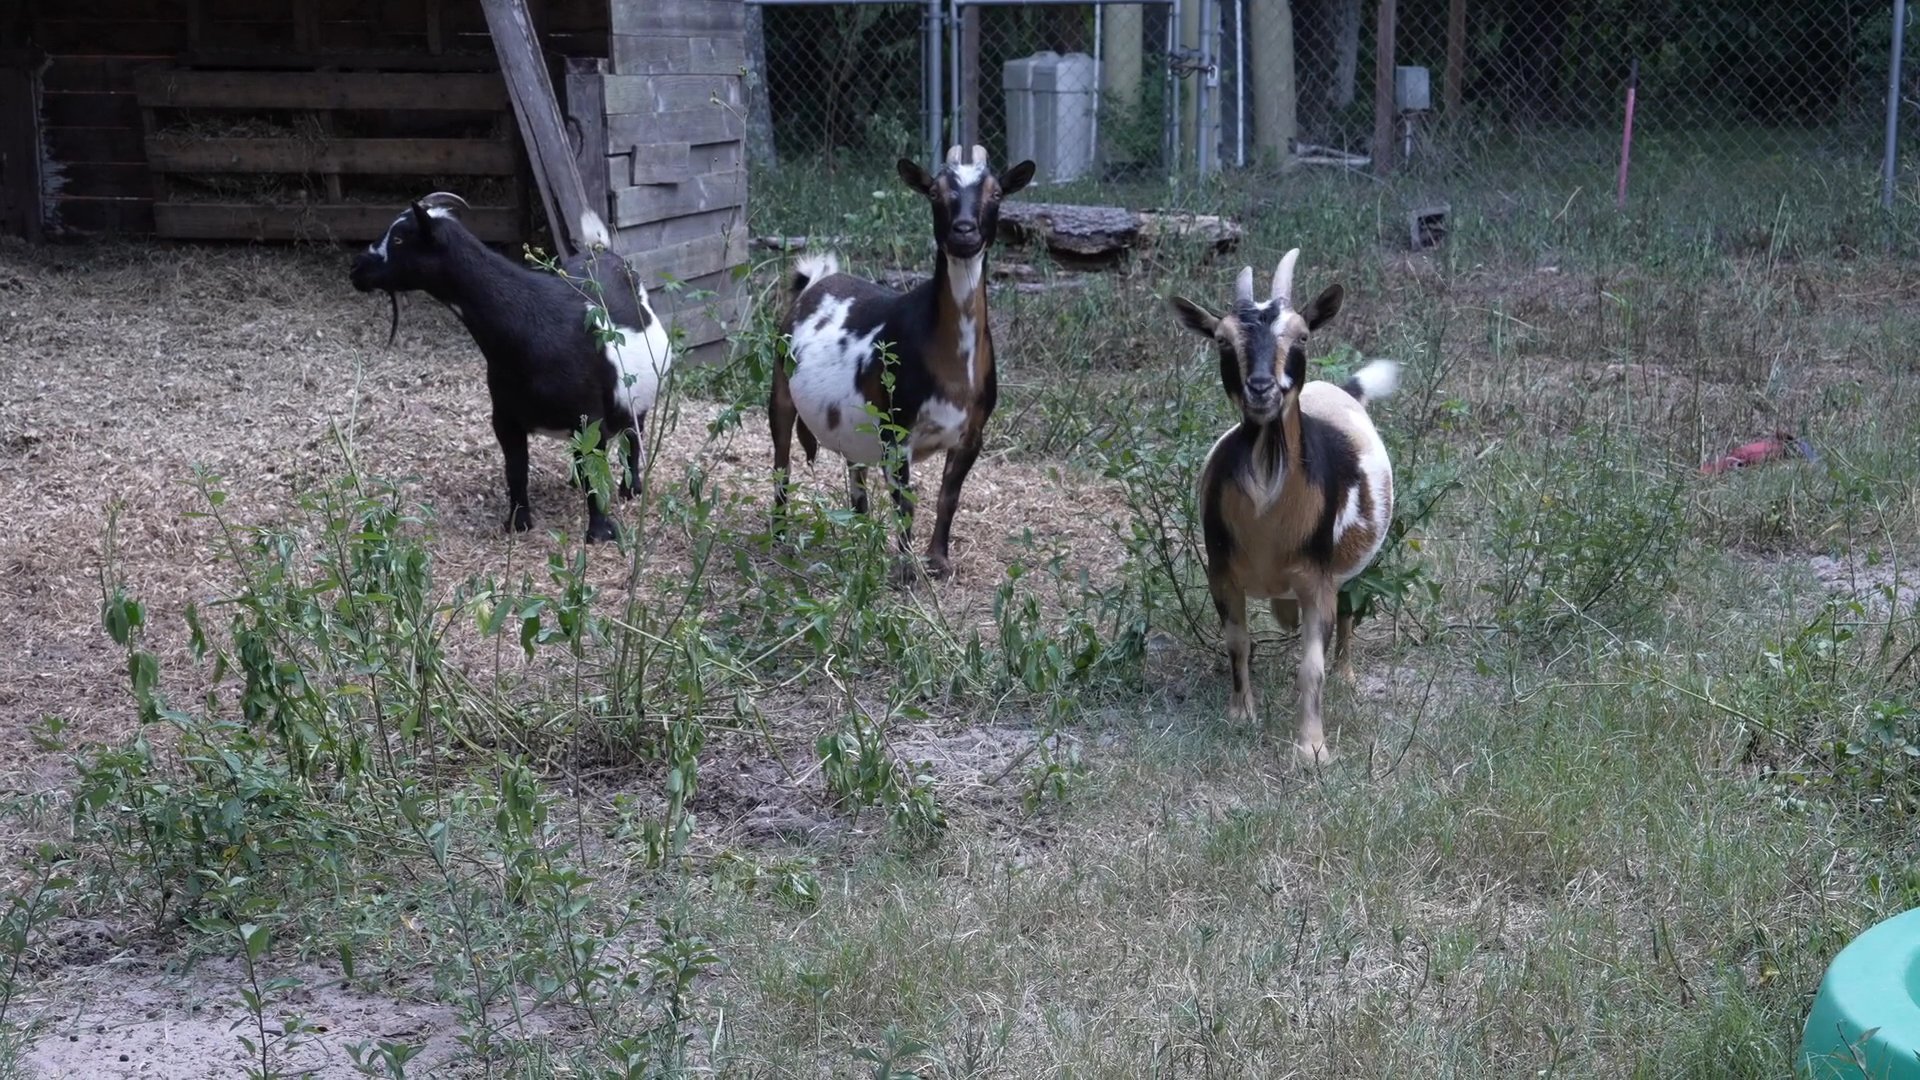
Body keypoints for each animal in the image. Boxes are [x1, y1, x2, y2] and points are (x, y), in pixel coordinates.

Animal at [349, 192, 673, 544]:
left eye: (398, 238)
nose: (356, 268)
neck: (535, 327)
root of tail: (599, 251)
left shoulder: (590, 417)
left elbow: (594, 471)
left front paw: (599, 532)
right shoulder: (505, 417)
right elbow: (516, 471)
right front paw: (518, 523)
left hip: (635, 397)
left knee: (632, 437)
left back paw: (632, 489)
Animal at [768, 145, 1036, 580]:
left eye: (996, 193)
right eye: (935, 192)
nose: (964, 231)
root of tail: (815, 282)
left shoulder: (972, 434)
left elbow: (948, 497)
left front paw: (939, 561)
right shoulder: (897, 430)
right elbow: (905, 501)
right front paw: (908, 568)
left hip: (852, 422)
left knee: (855, 473)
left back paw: (860, 535)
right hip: (779, 387)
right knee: (781, 461)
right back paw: (779, 537)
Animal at [1168, 250, 1398, 764]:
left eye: (1302, 334)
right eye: (1221, 339)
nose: (1261, 387)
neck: (1267, 510)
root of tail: (1343, 391)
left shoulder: (1318, 577)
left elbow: (1311, 664)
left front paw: (1312, 750)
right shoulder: (1221, 572)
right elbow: (1238, 643)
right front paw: (1242, 715)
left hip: (1355, 567)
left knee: (1351, 608)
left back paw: (1347, 676)